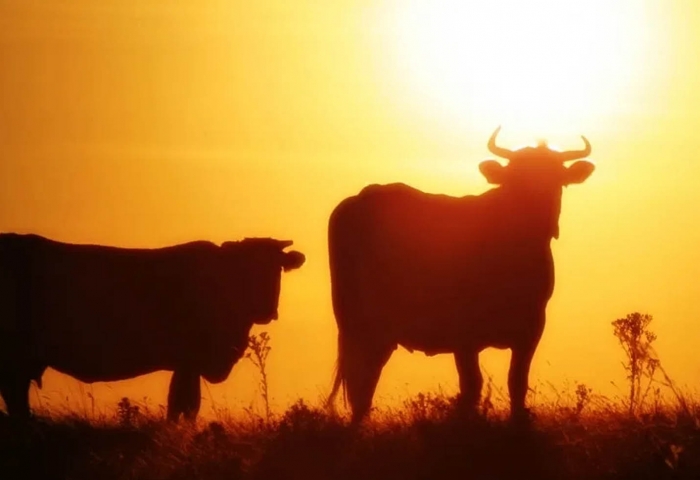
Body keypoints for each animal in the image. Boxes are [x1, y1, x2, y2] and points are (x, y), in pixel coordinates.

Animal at [0, 234, 306, 422]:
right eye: (245, 269)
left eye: (277, 268)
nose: (266, 310)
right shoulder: (189, 361)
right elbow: (183, 405)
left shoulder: (188, 365)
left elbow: (183, 406)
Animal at [328, 127, 596, 424]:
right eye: (515, 179)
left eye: (557, 180)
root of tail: (362, 197)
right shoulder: (464, 334)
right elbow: (472, 385)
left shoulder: (531, 328)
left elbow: (517, 382)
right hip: (361, 322)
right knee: (363, 376)